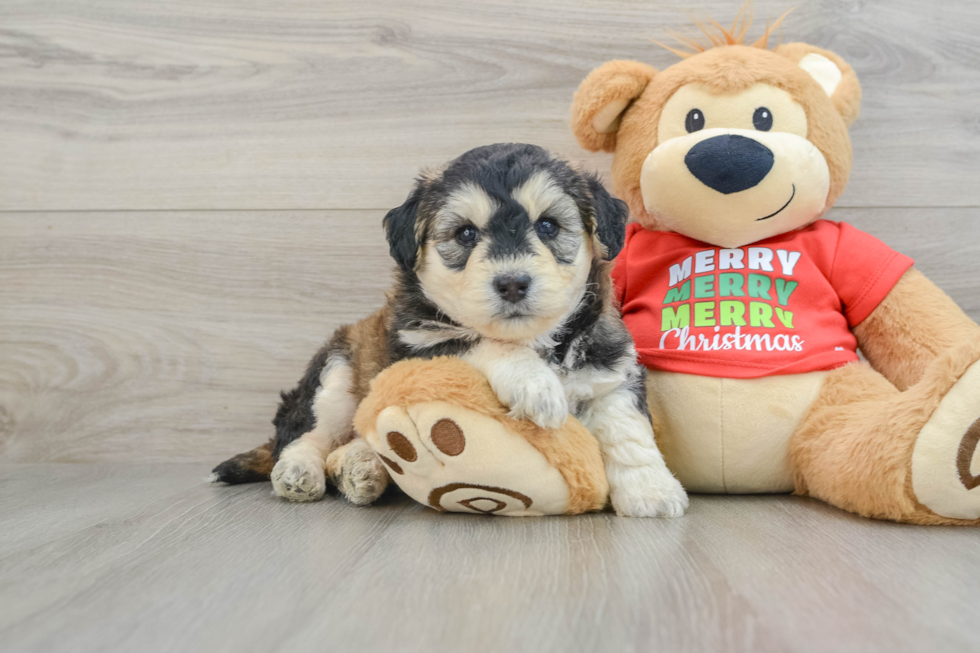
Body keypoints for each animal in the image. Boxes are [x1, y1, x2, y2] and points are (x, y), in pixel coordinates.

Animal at [212, 144, 688, 520]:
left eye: (548, 226)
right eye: (465, 233)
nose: (512, 283)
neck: (536, 341)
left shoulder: (610, 367)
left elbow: (628, 430)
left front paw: (650, 490)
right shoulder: (423, 344)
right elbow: (481, 339)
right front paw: (535, 385)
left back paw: (361, 465)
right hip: (334, 375)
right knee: (304, 435)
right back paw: (301, 472)